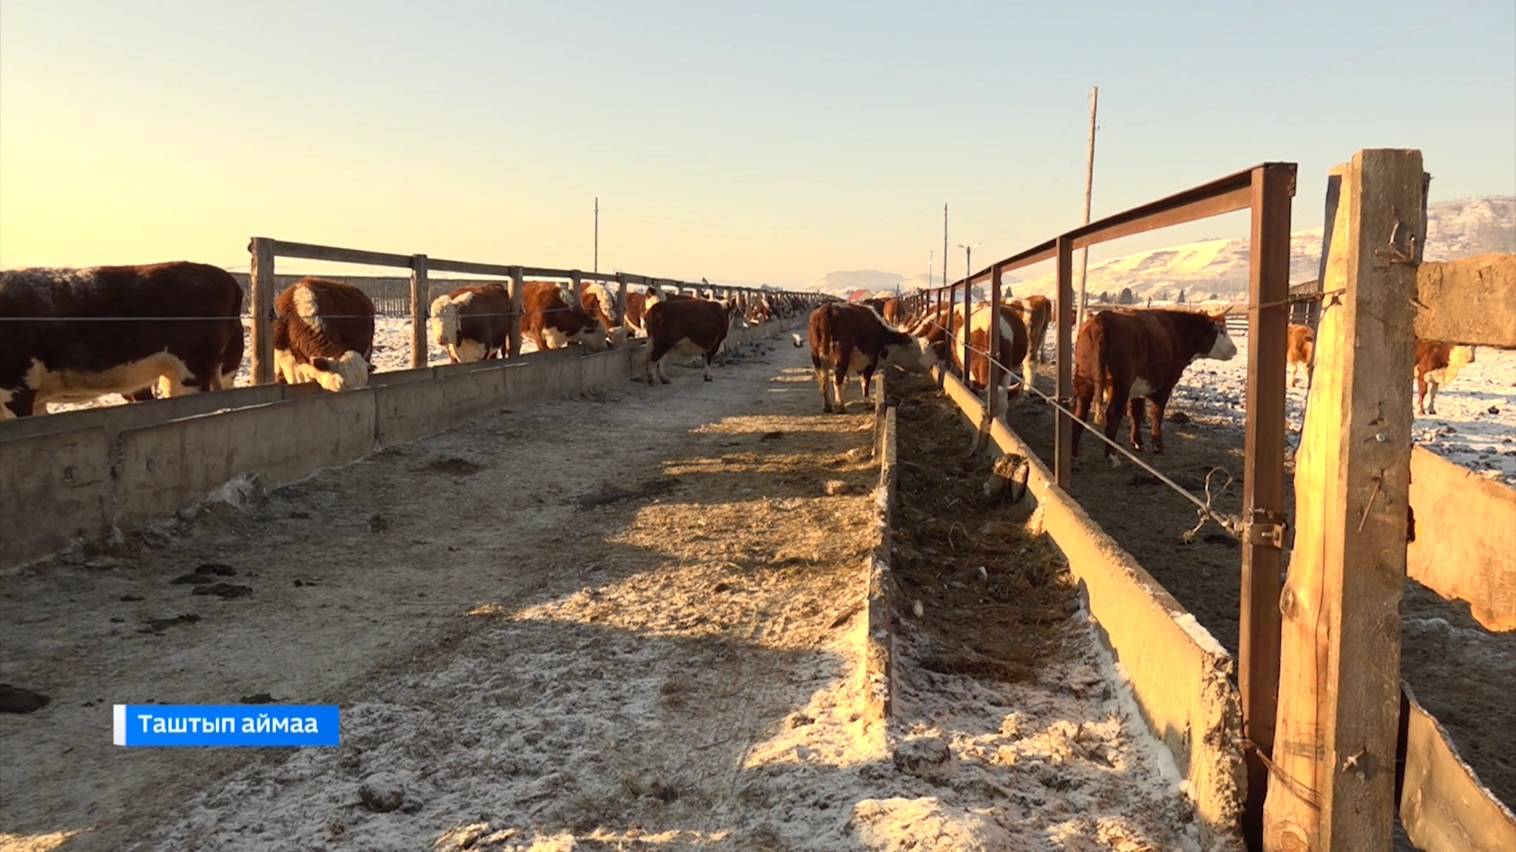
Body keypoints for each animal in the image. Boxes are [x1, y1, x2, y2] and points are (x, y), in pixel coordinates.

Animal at [1073, 306, 1237, 463]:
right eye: (1222, 330)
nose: (1234, 350)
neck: (1177, 332)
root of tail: (1100, 321)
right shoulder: (1165, 385)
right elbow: (1157, 413)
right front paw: (1158, 446)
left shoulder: (1139, 386)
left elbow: (1137, 413)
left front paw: (1137, 443)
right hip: (1119, 385)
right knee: (1112, 415)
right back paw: (1112, 455)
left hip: (1084, 379)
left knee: (1080, 412)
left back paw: (1074, 455)